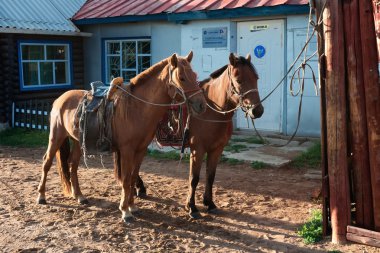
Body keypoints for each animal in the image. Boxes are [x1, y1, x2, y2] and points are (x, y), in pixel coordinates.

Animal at [36, 51, 206, 221]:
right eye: (182, 78)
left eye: (194, 75)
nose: (201, 105)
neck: (137, 107)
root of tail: (60, 99)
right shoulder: (126, 150)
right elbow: (125, 179)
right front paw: (125, 211)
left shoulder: (140, 150)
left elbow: (132, 177)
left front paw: (132, 206)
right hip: (56, 136)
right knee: (46, 162)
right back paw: (41, 196)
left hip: (78, 141)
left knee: (73, 164)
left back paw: (79, 196)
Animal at [137, 52, 264, 217]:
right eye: (238, 80)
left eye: (256, 78)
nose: (257, 110)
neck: (211, 111)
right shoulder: (197, 150)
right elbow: (194, 178)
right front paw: (191, 207)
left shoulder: (217, 149)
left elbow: (210, 176)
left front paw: (209, 203)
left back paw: (139, 187)